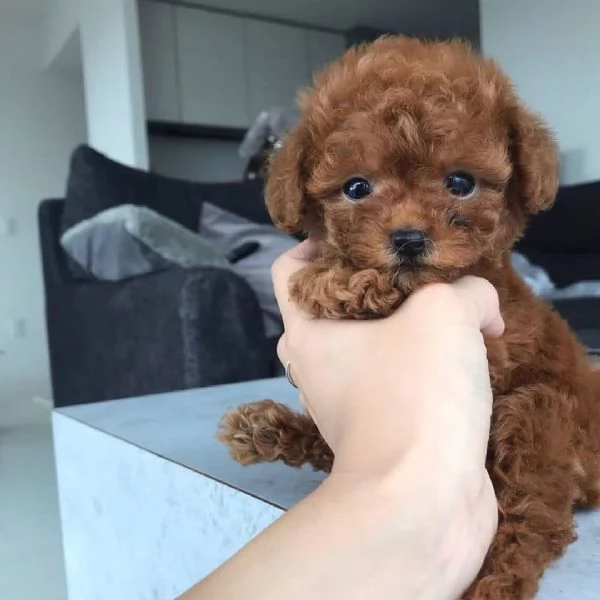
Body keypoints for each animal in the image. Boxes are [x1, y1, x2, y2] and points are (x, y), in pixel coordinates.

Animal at [219, 37, 600, 600]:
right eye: (356, 188)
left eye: (460, 182)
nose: (408, 240)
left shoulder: (501, 339)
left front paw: (342, 283)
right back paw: (264, 430)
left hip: (540, 414)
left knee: (534, 519)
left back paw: (494, 583)